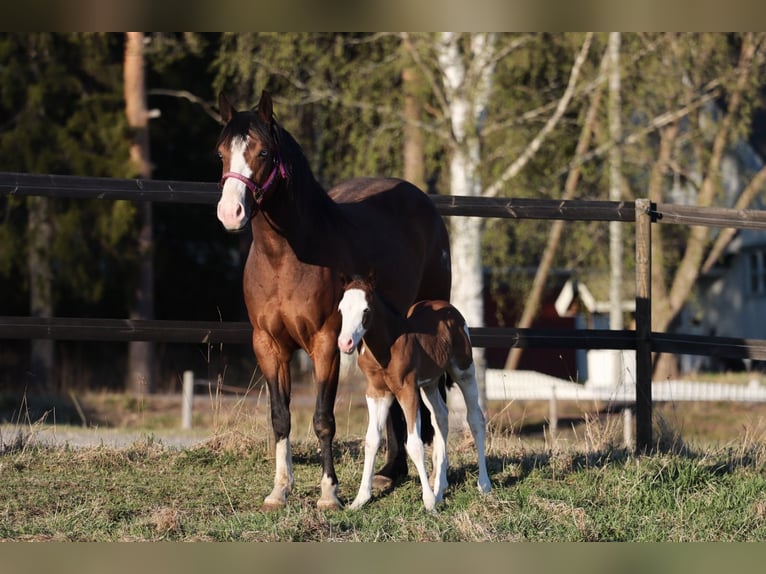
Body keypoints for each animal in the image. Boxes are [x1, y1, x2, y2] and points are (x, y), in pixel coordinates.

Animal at [215, 91, 451, 510]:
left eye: (262, 152)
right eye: (221, 152)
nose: (231, 213)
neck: (285, 259)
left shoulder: (325, 342)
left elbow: (323, 418)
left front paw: (329, 492)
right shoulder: (268, 345)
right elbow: (280, 416)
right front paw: (280, 490)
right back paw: (390, 473)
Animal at [337, 272, 491, 510]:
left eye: (365, 310)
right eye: (341, 309)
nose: (345, 343)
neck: (386, 346)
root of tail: (449, 308)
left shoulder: (407, 391)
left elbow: (414, 444)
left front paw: (428, 502)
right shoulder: (377, 392)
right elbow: (372, 440)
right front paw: (360, 499)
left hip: (464, 371)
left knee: (475, 419)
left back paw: (483, 485)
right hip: (429, 384)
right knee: (441, 418)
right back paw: (440, 487)